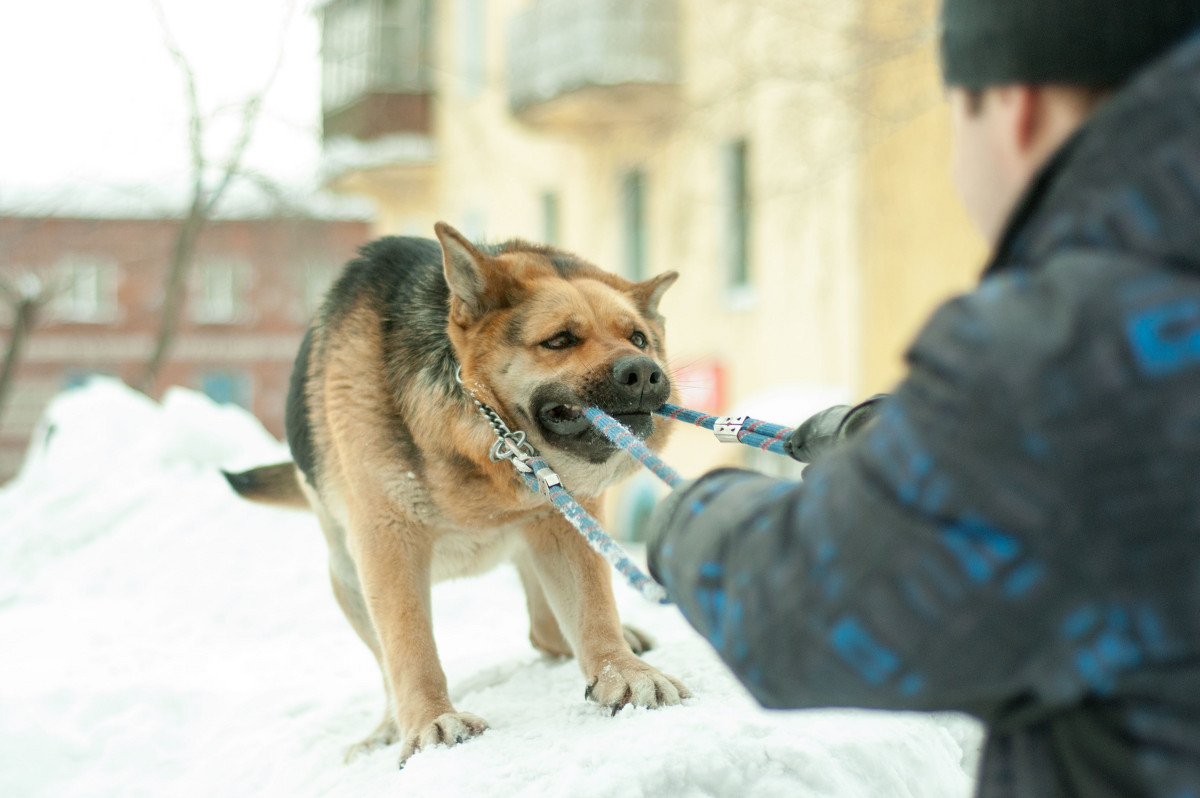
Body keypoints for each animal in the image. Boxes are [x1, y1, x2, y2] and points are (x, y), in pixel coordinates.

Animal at [226, 222, 696, 768]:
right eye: (559, 340)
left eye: (638, 337)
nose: (643, 372)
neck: (479, 435)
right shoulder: (387, 541)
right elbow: (409, 648)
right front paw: (430, 723)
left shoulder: (564, 518)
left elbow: (593, 607)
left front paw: (623, 673)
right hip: (347, 574)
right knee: (389, 663)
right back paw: (385, 729)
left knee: (545, 629)